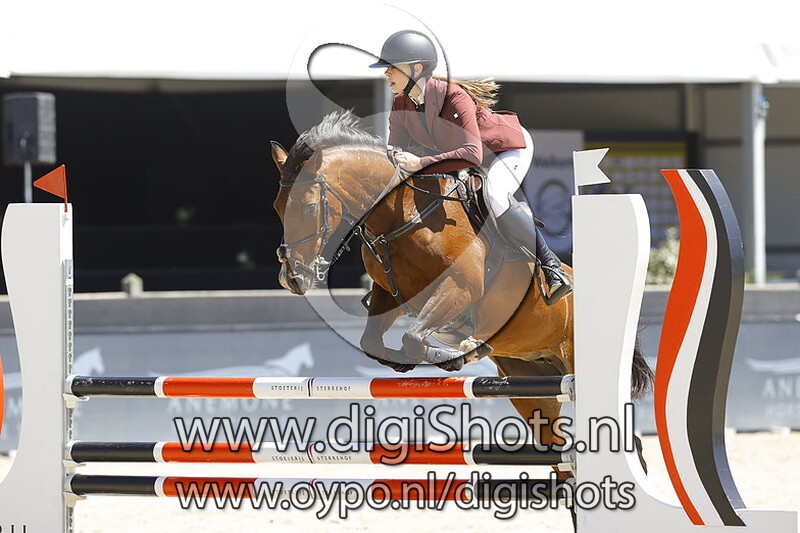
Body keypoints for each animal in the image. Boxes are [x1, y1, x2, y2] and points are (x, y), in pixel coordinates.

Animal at [271, 110, 653, 463]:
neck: (400, 217)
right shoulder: (389, 294)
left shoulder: (460, 286)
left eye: (307, 206)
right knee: (559, 451)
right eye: (277, 208)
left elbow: (414, 337)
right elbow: (372, 342)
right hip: (531, 381)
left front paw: (447, 354)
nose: (292, 279)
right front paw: (406, 363)